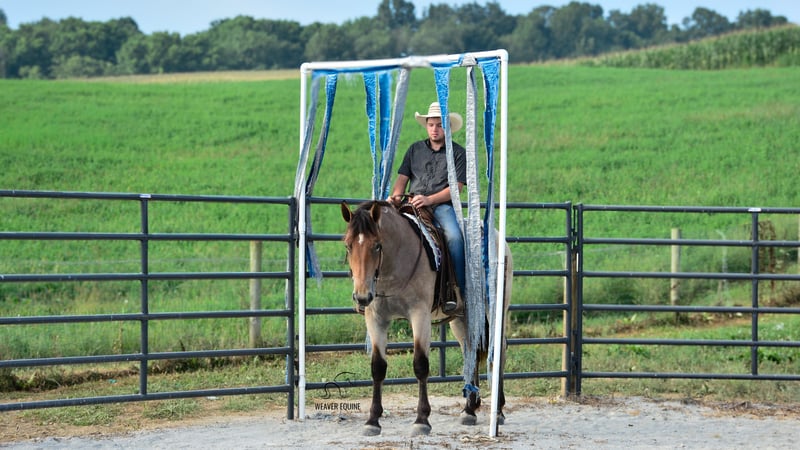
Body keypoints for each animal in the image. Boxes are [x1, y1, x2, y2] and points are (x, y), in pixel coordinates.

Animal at [340, 200, 513, 436]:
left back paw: (499, 411)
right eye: (348, 246)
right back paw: (470, 409)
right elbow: (378, 367)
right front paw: (372, 421)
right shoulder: (376, 319)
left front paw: (422, 420)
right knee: (471, 351)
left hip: (495, 308)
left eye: (377, 245)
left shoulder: (419, 314)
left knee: (499, 351)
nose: (362, 296)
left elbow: (420, 364)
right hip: (463, 317)